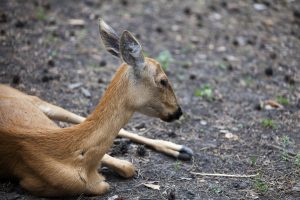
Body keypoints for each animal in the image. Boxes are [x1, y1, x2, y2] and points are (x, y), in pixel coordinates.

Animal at [0, 19, 192, 197]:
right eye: (163, 80)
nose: (178, 111)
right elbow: (119, 172)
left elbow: (128, 166)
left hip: (33, 101)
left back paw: (182, 150)